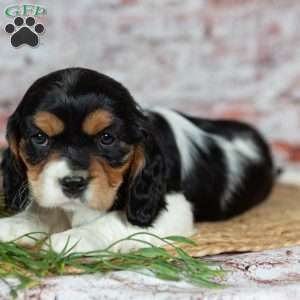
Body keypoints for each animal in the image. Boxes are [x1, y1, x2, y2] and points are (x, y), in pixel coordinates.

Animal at [0, 68, 276, 253]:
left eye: (107, 138)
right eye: (40, 137)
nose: (73, 183)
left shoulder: (174, 210)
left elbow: (111, 221)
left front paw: (72, 238)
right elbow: (42, 210)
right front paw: (13, 225)